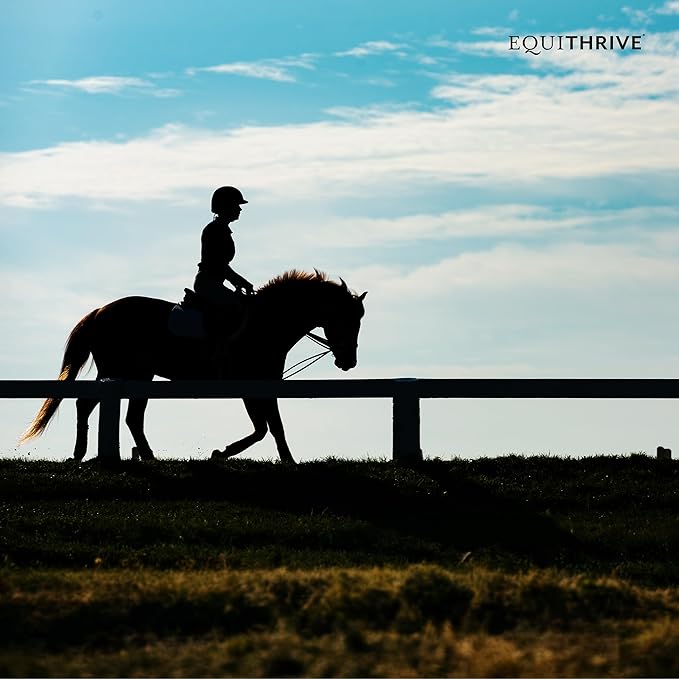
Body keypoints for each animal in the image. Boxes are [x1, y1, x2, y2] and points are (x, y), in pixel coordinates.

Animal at [20, 270, 367, 464]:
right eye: (348, 320)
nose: (348, 361)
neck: (267, 324)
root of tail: (99, 311)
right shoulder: (252, 387)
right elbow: (266, 428)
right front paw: (228, 454)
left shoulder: (260, 387)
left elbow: (270, 428)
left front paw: (281, 460)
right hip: (119, 371)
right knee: (88, 404)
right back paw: (81, 453)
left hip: (138, 375)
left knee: (129, 417)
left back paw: (145, 456)